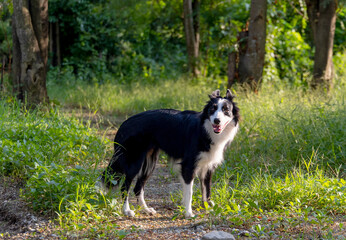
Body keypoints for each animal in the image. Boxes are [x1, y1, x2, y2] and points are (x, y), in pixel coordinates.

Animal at [96, 89, 239, 218]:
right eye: (212, 110)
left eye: (226, 110)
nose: (216, 121)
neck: (205, 129)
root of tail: (123, 125)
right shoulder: (188, 165)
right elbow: (190, 192)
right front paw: (188, 213)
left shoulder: (207, 167)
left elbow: (207, 191)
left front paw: (209, 208)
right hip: (134, 162)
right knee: (125, 186)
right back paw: (127, 210)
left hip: (150, 162)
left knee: (138, 188)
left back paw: (146, 210)